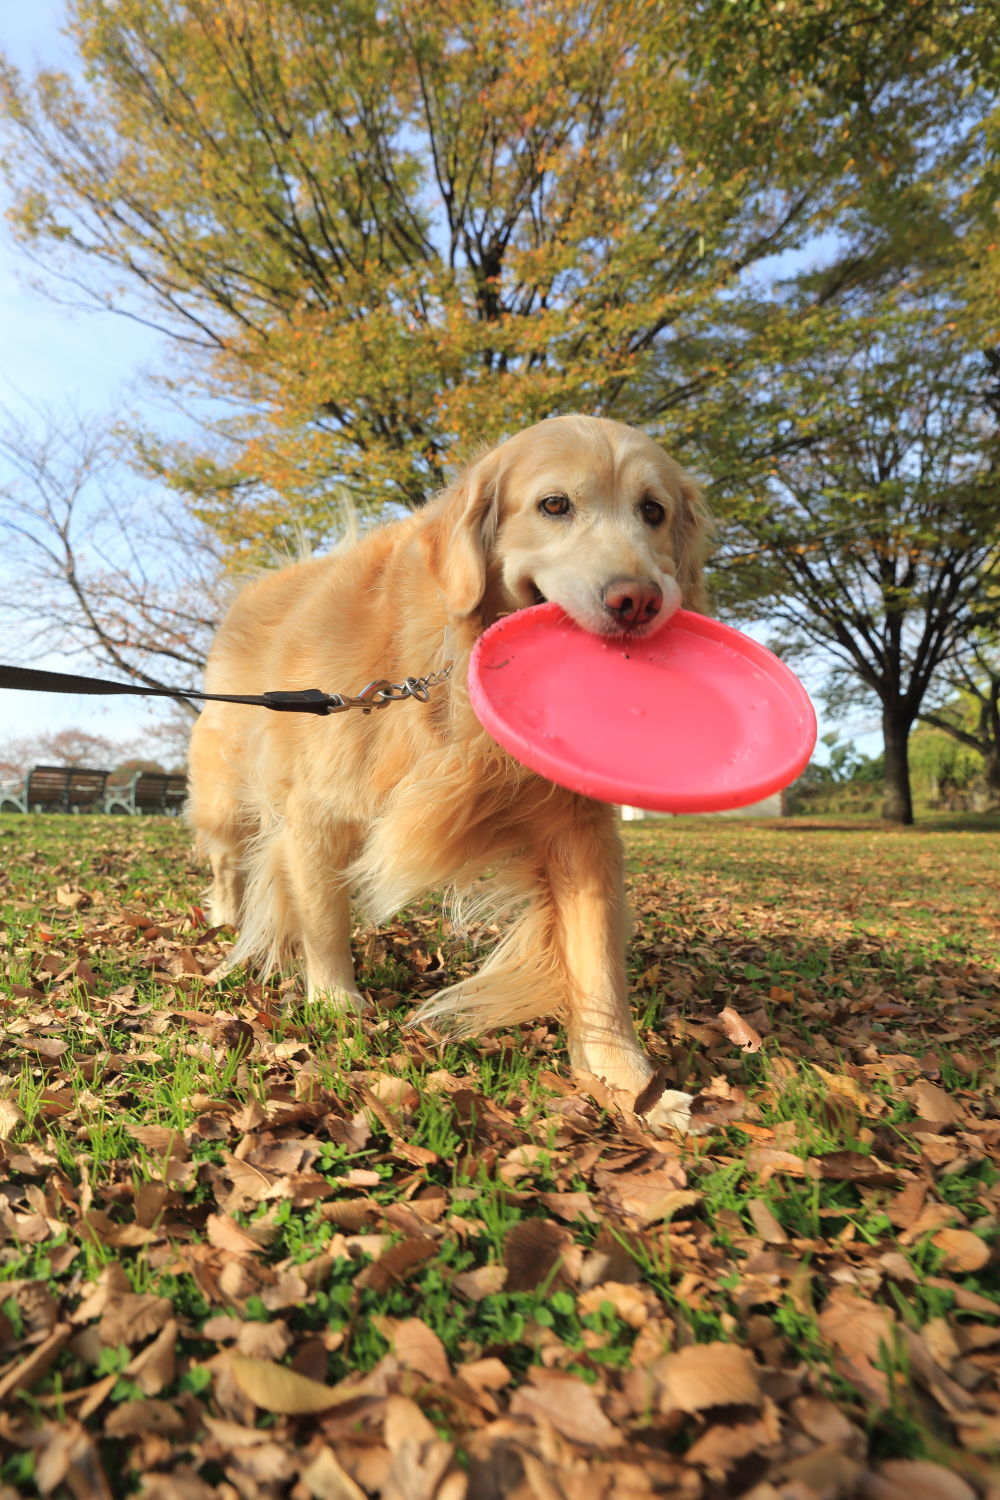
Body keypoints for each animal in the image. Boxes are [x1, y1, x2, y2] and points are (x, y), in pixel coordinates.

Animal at [189, 417, 710, 1128]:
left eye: (652, 511)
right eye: (554, 505)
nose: (639, 600)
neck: (446, 673)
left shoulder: (576, 828)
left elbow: (595, 953)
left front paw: (628, 1079)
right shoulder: (315, 810)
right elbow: (323, 916)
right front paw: (335, 1000)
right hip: (226, 788)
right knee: (228, 859)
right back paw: (226, 915)